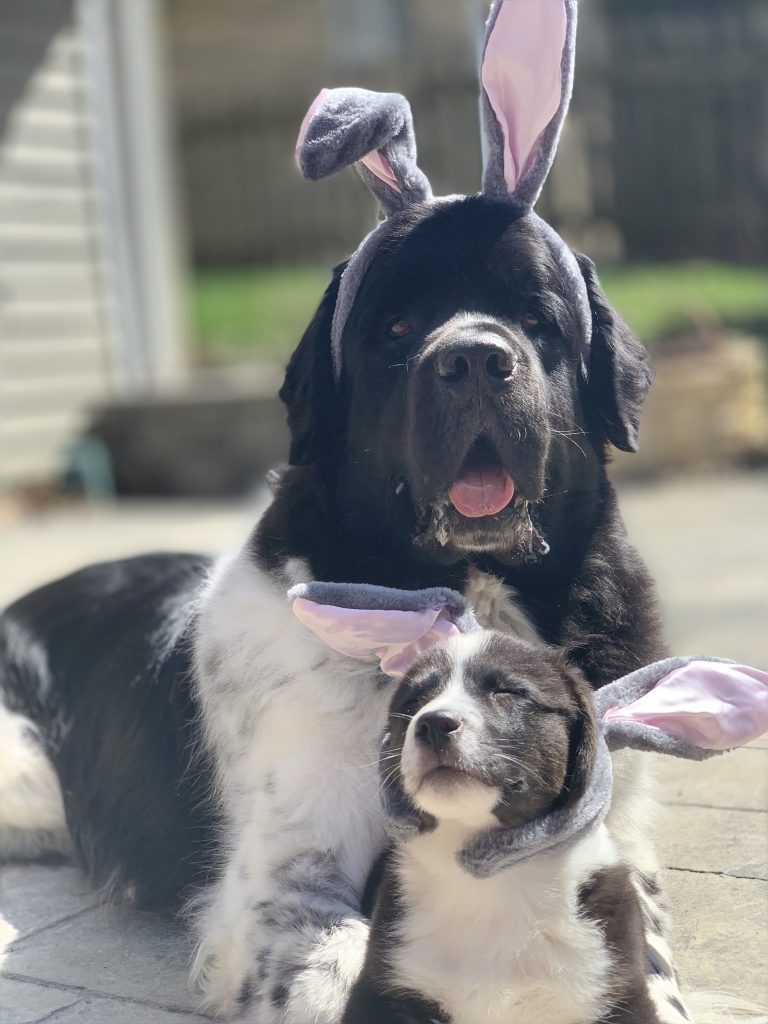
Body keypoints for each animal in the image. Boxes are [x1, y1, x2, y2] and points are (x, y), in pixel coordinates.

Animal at [348, 630, 663, 1024]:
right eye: (415, 700)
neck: (492, 881)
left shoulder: (616, 989)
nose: (433, 724)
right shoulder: (383, 988)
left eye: (508, 691)